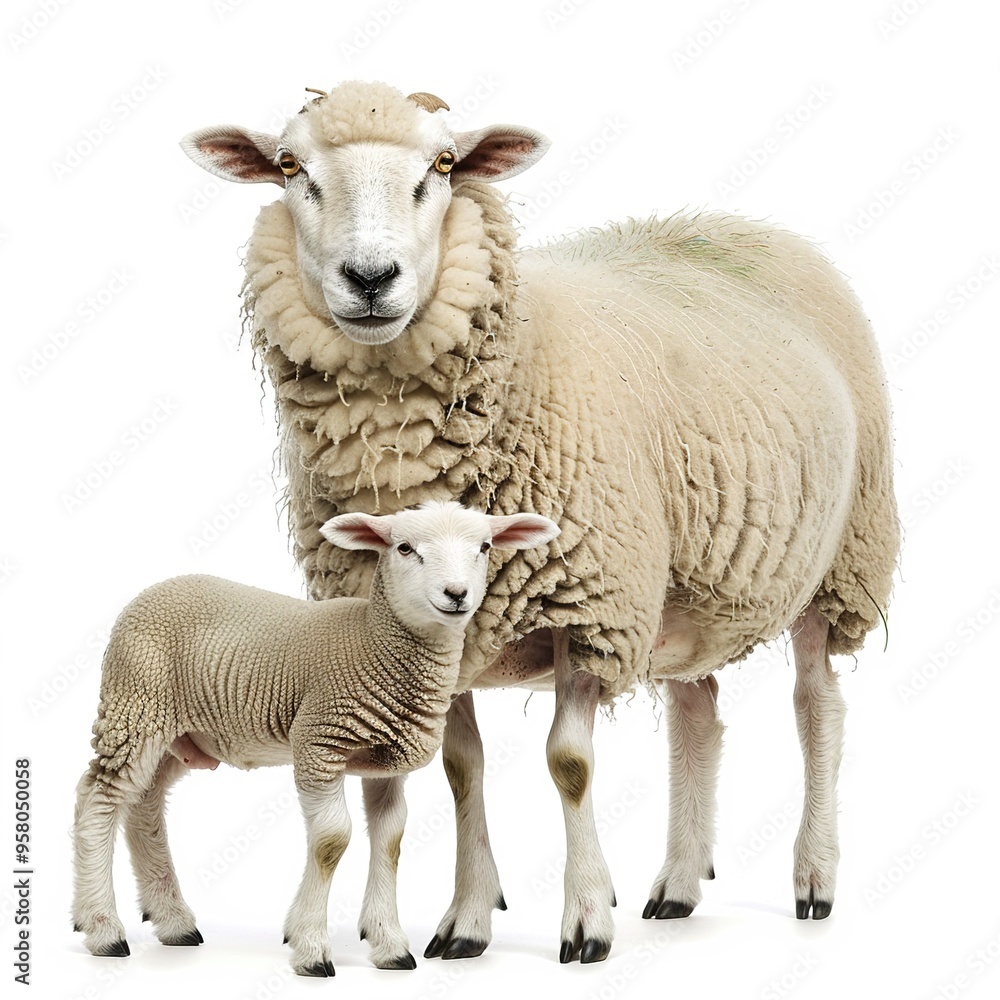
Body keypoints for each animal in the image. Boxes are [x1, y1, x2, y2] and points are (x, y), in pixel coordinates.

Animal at [71, 501, 560, 976]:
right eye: (403, 548)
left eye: (484, 547)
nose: (456, 594)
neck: (373, 643)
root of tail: (154, 589)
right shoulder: (318, 741)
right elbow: (331, 840)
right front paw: (309, 947)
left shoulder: (386, 763)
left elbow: (391, 841)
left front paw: (388, 945)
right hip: (134, 707)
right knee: (98, 798)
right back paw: (103, 928)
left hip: (179, 734)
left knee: (144, 803)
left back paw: (172, 920)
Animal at [181, 80, 900, 964]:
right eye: (290, 168)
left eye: (442, 166)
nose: (371, 277)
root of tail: (745, 223)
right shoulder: (432, 633)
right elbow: (461, 767)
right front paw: (466, 918)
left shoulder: (590, 610)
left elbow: (569, 765)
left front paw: (586, 918)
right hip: (682, 587)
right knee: (697, 712)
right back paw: (679, 883)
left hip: (841, 559)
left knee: (816, 706)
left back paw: (813, 876)